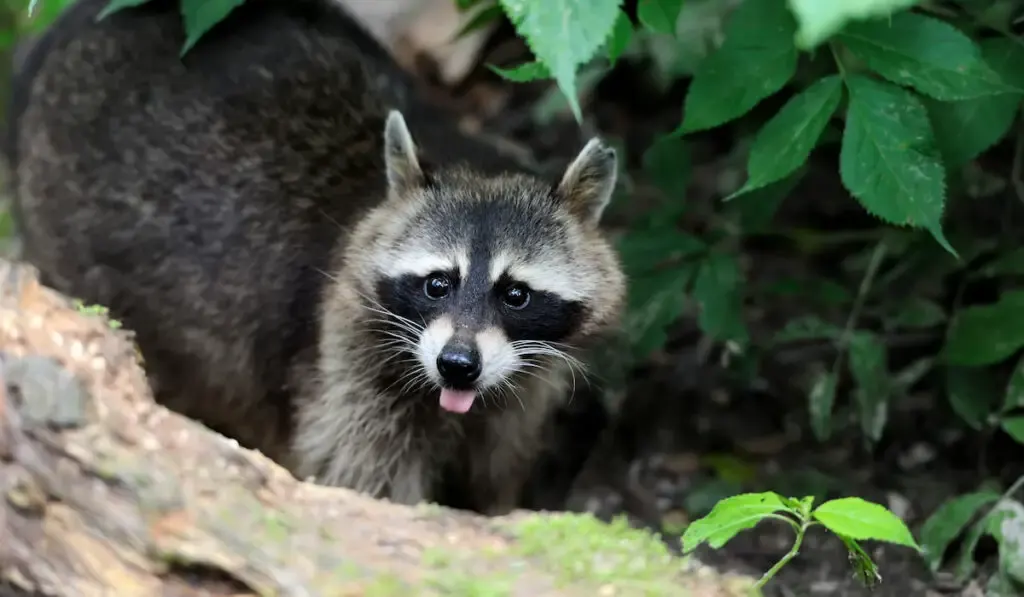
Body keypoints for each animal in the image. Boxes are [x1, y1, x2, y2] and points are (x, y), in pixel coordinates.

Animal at [4, 0, 626, 514]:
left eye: (515, 293)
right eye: (437, 284)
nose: (457, 364)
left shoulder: (525, 388)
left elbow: (496, 469)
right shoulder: (345, 360)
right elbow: (359, 476)